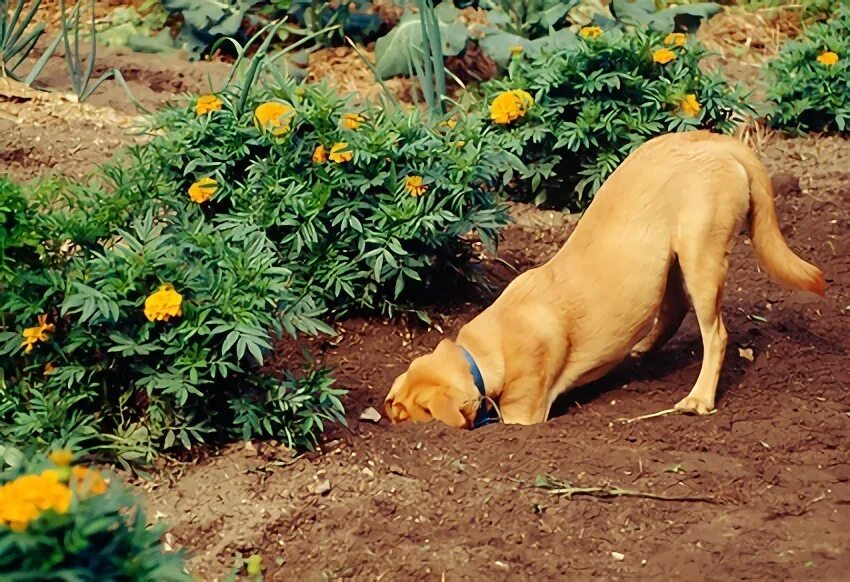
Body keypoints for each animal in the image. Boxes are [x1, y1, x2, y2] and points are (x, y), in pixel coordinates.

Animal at [382, 133, 820, 434]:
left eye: (405, 411)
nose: (387, 413)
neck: (486, 348)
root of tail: (716, 141)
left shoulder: (524, 413)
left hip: (701, 256)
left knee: (716, 335)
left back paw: (697, 399)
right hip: (671, 261)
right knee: (673, 309)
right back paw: (642, 351)